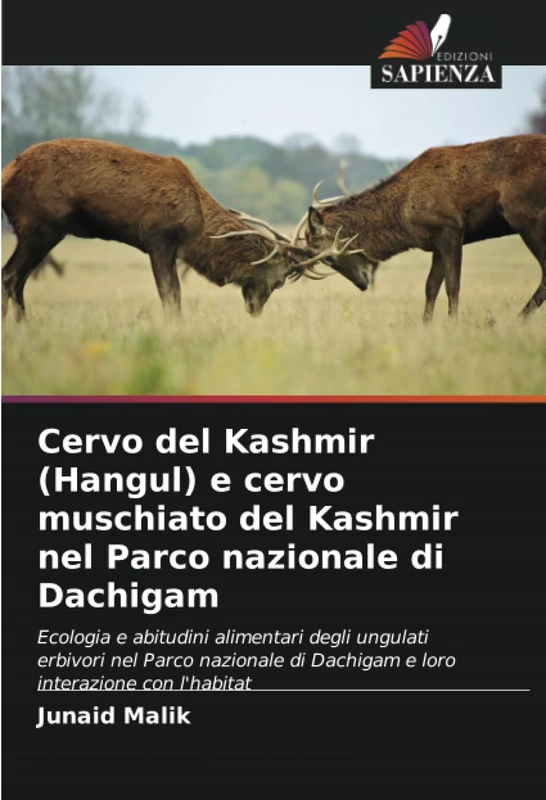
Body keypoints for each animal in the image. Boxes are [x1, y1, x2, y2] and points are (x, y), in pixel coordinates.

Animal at [293, 134, 546, 321]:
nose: (363, 284)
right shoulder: (435, 240)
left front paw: (453, 324)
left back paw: (517, 320)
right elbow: (431, 285)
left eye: (329, 258)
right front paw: (427, 324)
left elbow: (452, 285)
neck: (404, 214)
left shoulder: (451, 228)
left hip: (529, 219)